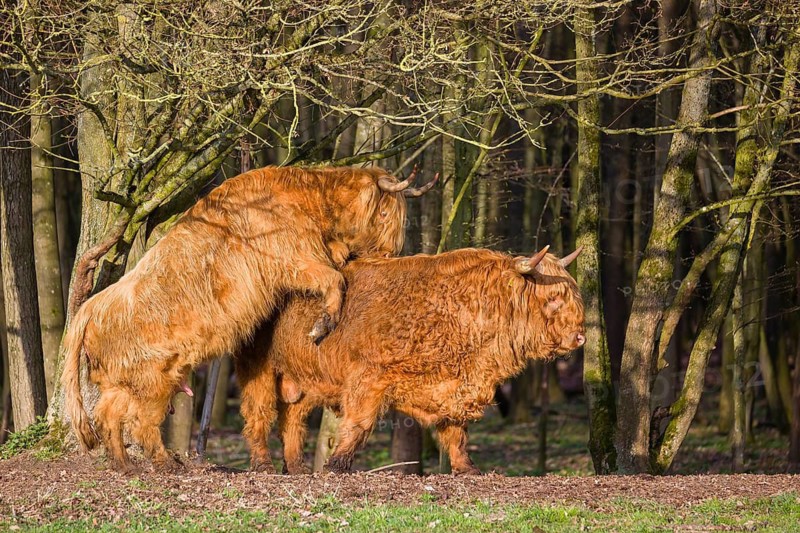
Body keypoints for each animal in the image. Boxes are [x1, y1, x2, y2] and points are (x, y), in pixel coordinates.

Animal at [61, 165, 435, 472]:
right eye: (385, 211)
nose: (390, 255)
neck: (310, 200)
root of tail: (90, 307)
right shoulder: (296, 259)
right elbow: (334, 280)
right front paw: (322, 325)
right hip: (152, 381)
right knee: (141, 422)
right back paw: (166, 465)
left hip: (123, 381)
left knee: (108, 416)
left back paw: (124, 465)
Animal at [237, 245, 585, 475]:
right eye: (553, 298)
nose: (580, 336)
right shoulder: (368, 378)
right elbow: (359, 423)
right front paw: (336, 465)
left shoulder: (451, 386)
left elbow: (456, 433)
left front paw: (467, 469)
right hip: (261, 371)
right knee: (259, 416)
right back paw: (264, 465)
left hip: (302, 382)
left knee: (293, 422)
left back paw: (296, 468)